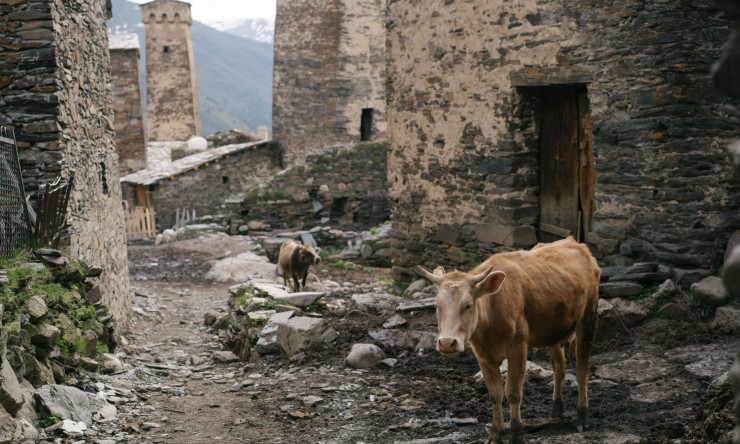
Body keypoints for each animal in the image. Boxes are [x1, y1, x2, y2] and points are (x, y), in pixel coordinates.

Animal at [418, 237, 600, 444]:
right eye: (436, 305)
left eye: (468, 305)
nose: (447, 343)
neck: (492, 311)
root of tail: (574, 243)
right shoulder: (483, 355)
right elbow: (495, 394)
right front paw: (496, 434)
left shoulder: (517, 349)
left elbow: (513, 393)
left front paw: (516, 434)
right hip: (552, 330)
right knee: (559, 368)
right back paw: (556, 411)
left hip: (587, 319)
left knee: (582, 370)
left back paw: (581, 417)